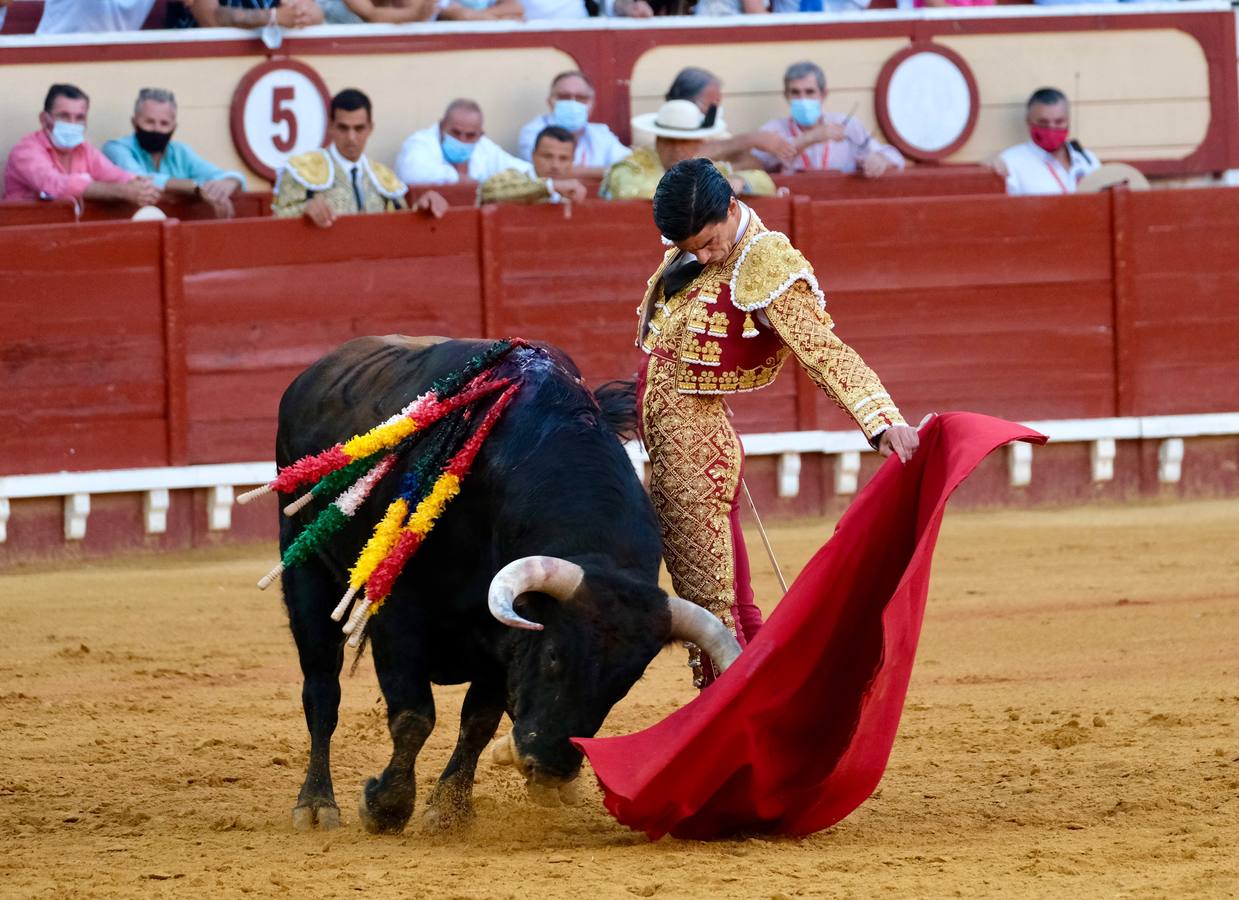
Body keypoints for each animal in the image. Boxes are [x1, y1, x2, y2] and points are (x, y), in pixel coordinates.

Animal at [276, 339, 728, 838]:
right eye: (554, 655)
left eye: (625, 682)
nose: (550, 765)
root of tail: (315, 372)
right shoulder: (400, 618)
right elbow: (414, 716)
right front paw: (386, 807)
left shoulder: (502, 637)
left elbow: (477, 720)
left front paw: (448, 809)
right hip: (306, 573)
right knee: (322, 692)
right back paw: (315, 804)